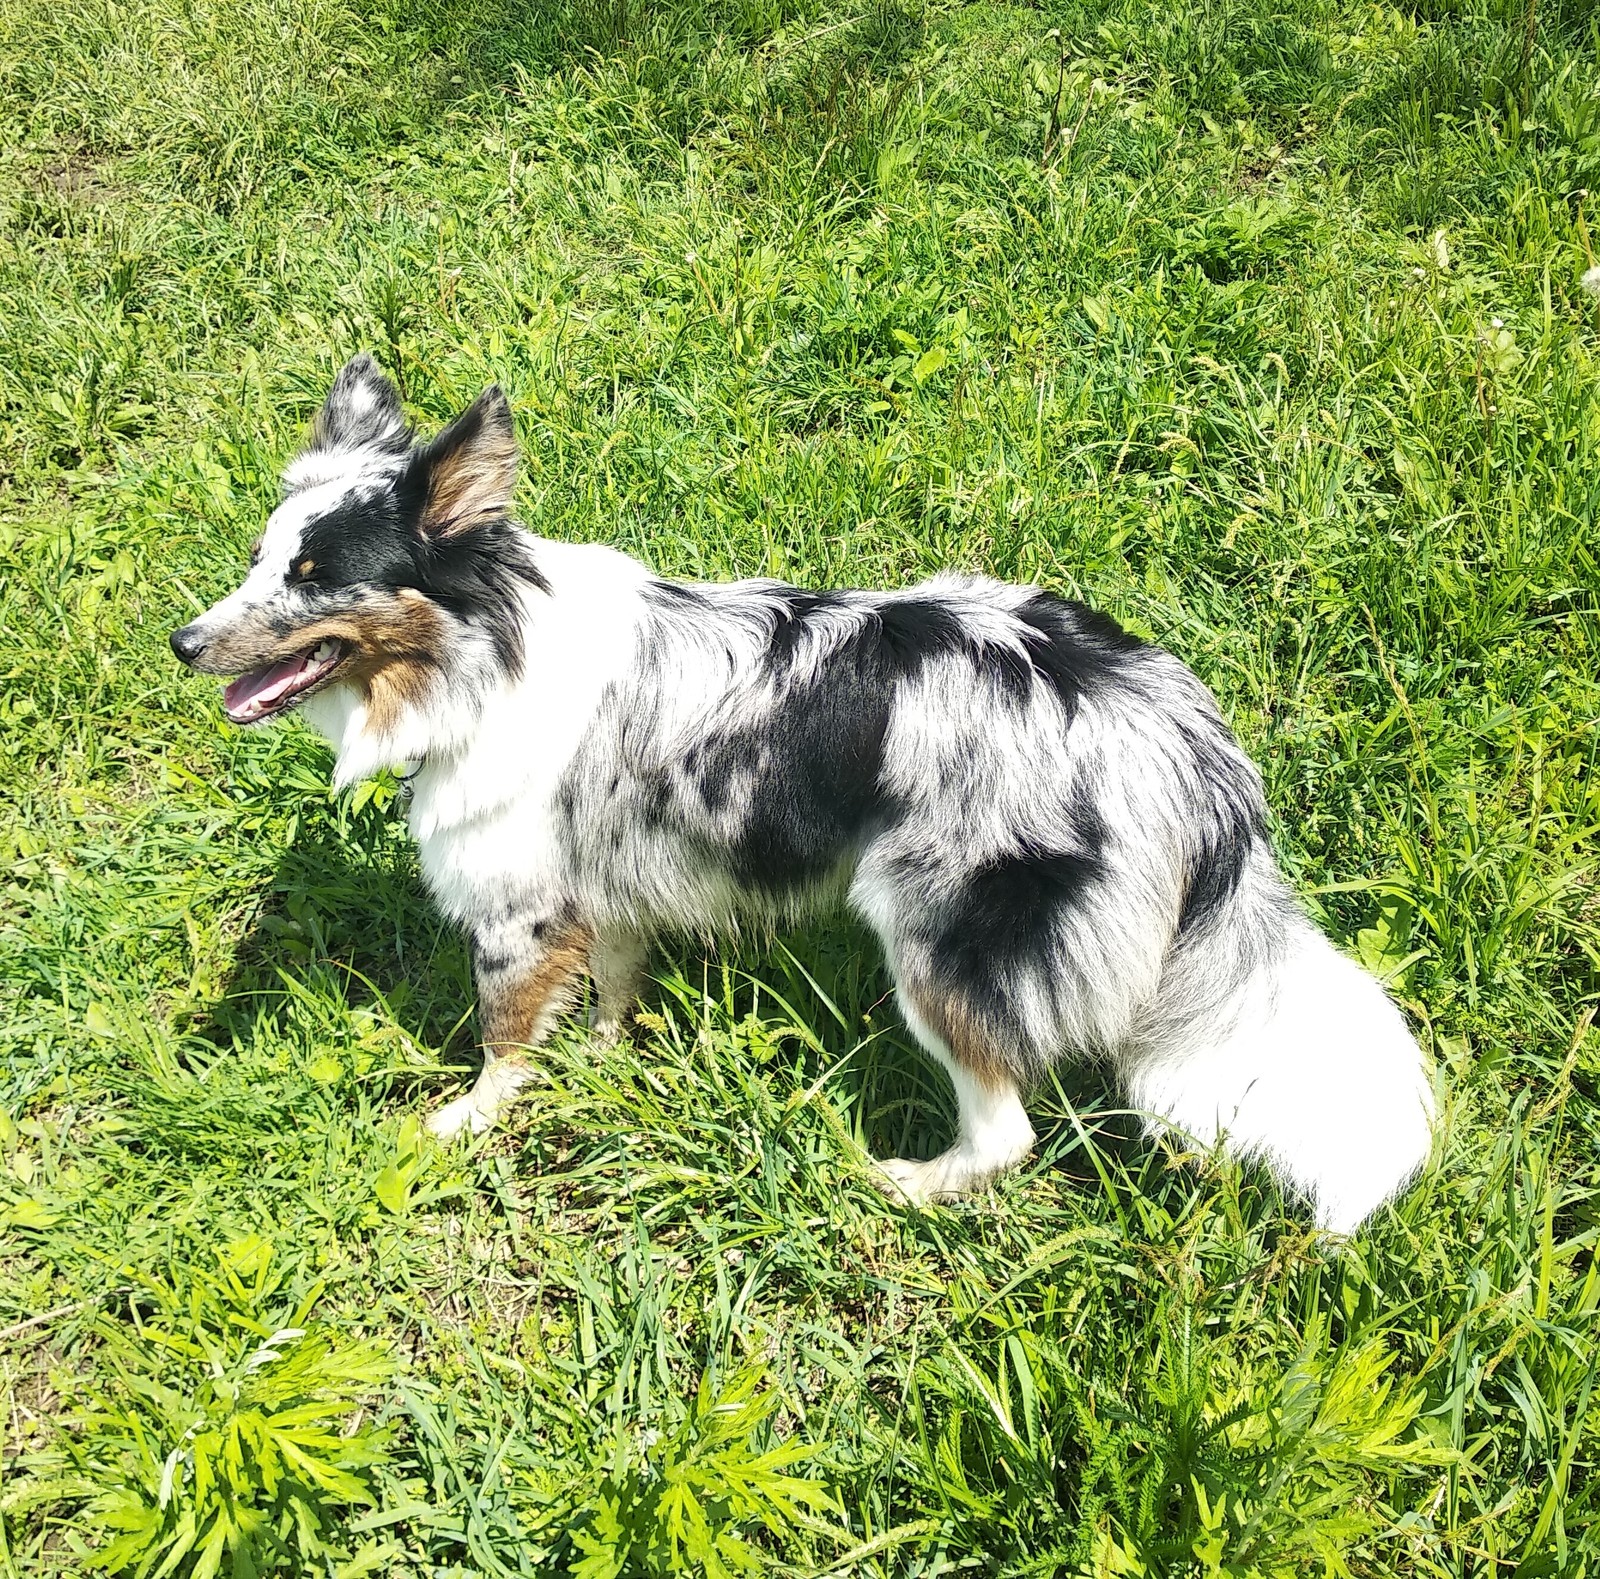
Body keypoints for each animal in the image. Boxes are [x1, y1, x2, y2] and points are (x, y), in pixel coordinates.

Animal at [172, 358, 1440, 1235]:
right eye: (258, 560)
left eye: (315, 577)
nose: (182, 643)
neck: (483, 649)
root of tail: (1176, 728)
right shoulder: (602, 885)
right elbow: (610, 990)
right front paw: (611, 1058)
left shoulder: (515, 914)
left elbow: (499, 1041)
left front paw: (464, 1122)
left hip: (937, 944)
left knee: (1007, 1130)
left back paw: (909, 1182)